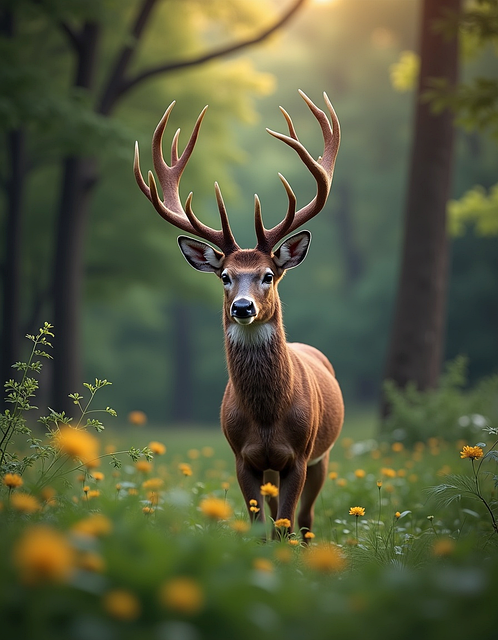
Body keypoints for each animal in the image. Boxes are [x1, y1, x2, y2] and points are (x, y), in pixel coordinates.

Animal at [134, 90, 344, 537]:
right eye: (226, 276)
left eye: (268, 275)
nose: (242, 307)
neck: (266, 417)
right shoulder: (242, 457)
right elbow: (260, 528)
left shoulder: (299, 456)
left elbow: (283, 525)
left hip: (324, 455)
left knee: (306, 520)